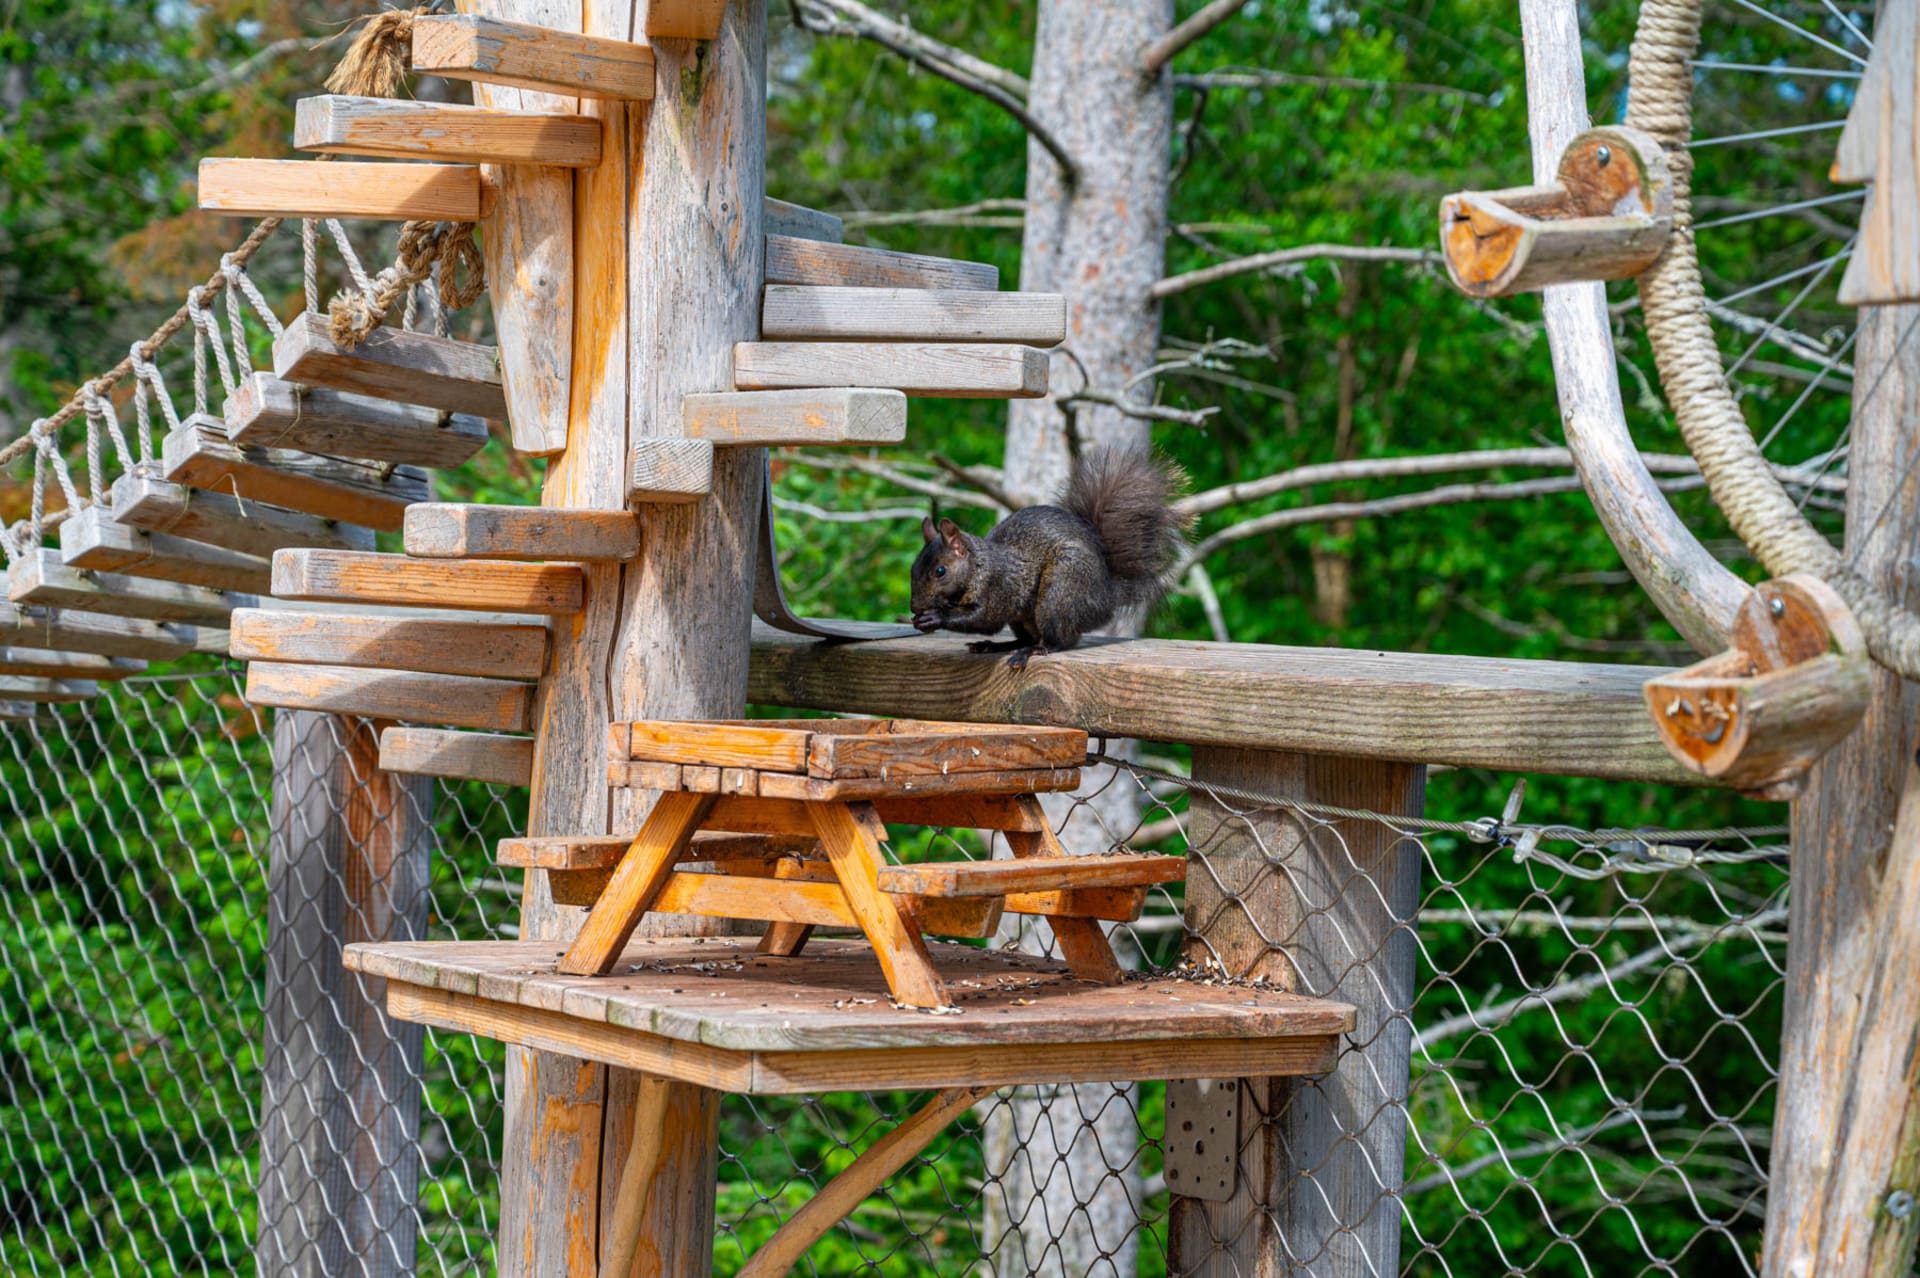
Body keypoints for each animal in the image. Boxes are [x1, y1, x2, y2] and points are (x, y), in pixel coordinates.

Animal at [910, 447, 1194, 668]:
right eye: (913, 568)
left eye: (940, 571)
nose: (914, 607)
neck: (979, 565)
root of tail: (1107, 595)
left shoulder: (999, 585)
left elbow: (985, 618)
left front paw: (935, 617)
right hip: (1023, 617)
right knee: (1025, 637)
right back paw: (994, 646)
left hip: (1060, 589)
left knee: (1063, 640)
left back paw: (1036, 649)